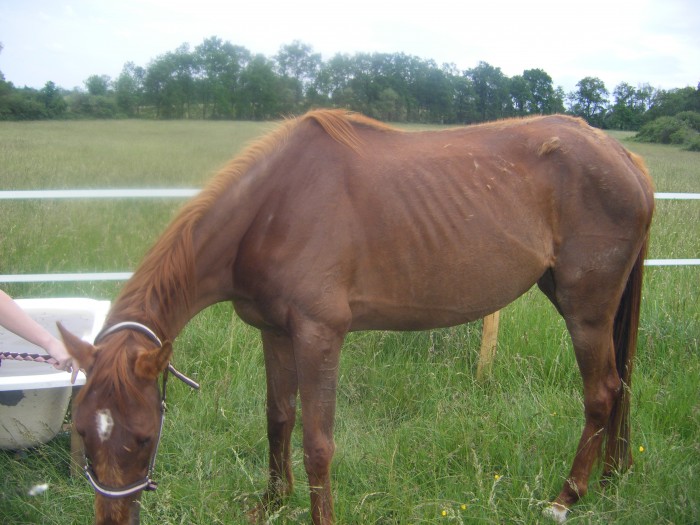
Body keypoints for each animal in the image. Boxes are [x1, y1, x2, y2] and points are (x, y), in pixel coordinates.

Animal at [60, 108, 656, 520]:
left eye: (144, 438)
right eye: (83, 434)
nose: (112, 520)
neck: (271, 209)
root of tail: (625, 158)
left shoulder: (320, 335)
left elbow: (317, 444)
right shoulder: (275, 333)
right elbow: (278, 418)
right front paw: (273, 502)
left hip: (586, 311)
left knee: (602, 392)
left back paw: (566, 497)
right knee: (620, 387)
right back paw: (609, 478)